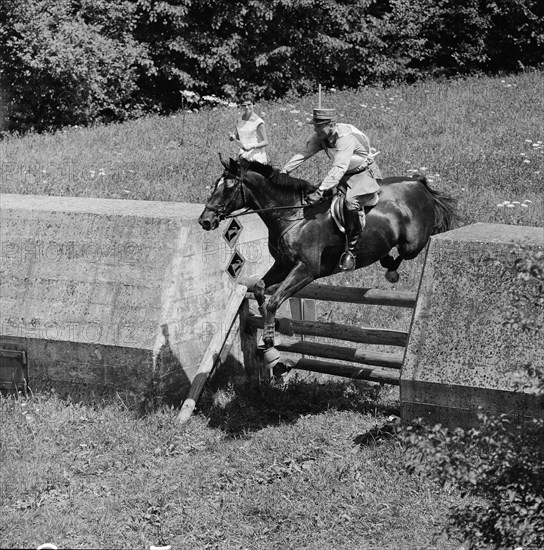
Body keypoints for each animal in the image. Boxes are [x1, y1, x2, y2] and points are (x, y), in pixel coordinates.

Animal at [198, 156, 456, 362]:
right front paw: (272, 324)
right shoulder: (283, 265)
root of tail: (418, 183)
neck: (292, 215)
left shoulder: (305, 270)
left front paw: (270, 338)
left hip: (413, 242)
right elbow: (261, 288)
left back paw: (389, 269)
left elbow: (274, 300)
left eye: (228, 187)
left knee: (411, 249)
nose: (205, 220)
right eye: (215, 185)